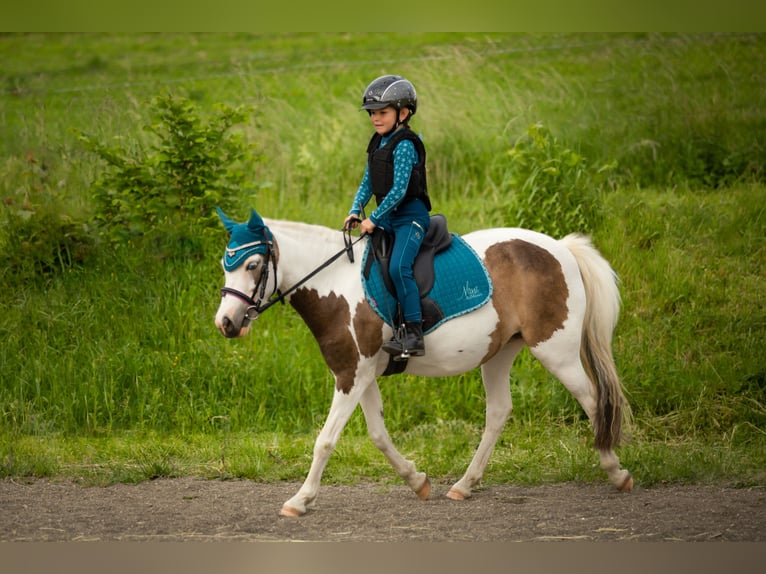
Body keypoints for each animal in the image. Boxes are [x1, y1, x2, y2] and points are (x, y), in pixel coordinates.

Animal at [213, 209, 632, 520]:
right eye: (225, 264)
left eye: (253, 265)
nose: (226, 323)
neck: (336, 284)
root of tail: (561, 248)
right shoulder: (362, 374)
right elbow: (378, 435)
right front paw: (417, 480)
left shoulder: (351, 376)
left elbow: (325, 440)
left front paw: (299, 500)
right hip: (499, 354)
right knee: (499, 412)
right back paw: (464, 485)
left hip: (556, 351)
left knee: (593, 402)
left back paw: (617, 473)